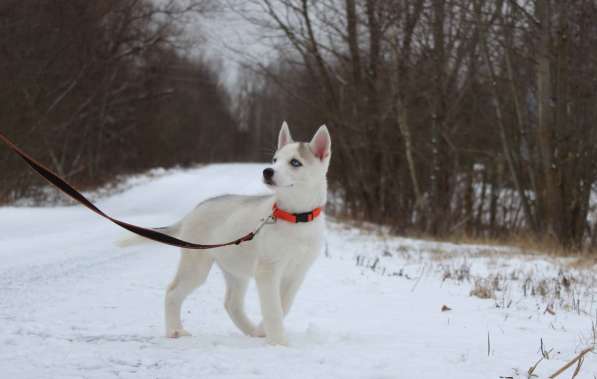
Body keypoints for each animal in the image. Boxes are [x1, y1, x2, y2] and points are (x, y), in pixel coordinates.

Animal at [117, 123, 330, 346]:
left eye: (295, 162)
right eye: (275, 160)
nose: (267, 171)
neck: (295, 217)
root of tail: (193, 211)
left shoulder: (297, 273)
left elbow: (284, 304)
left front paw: (264, 331)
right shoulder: (268, 271)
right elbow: (273, 309)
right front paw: (278, 342)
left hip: (235, 269)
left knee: (231, 303)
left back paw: (252, 331)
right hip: (196, 265)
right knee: (173, 291)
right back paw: (175, 330)